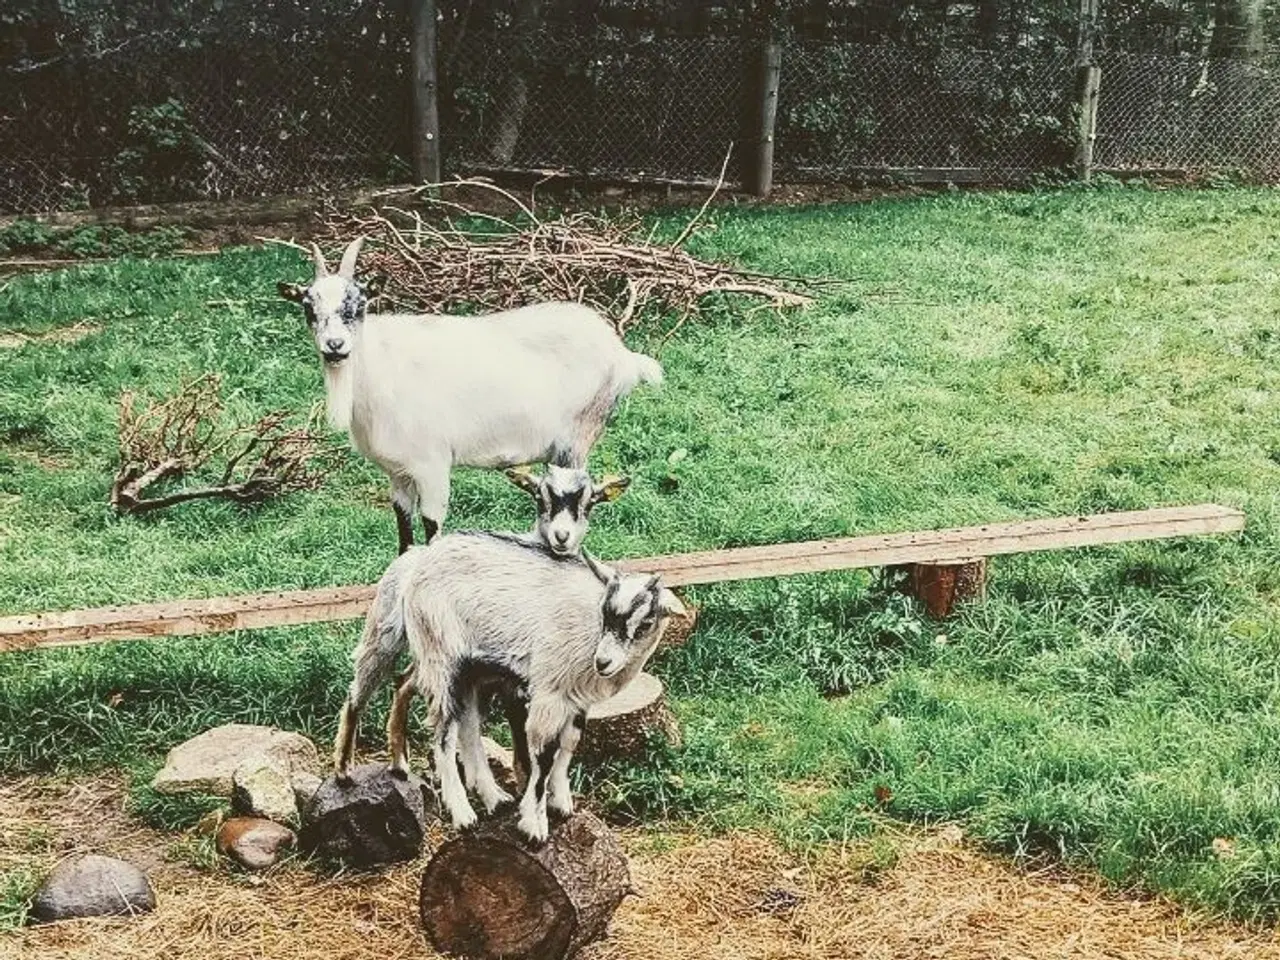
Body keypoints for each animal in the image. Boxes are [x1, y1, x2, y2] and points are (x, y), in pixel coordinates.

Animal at [276, 239, 665, 555]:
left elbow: (431, 529)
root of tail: (622, 354)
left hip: (577, 441)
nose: (335, 346)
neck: (380, 368)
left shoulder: (432, 466)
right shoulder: (398, 474)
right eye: (309, 307)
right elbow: (404, 534)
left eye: (358, 305)